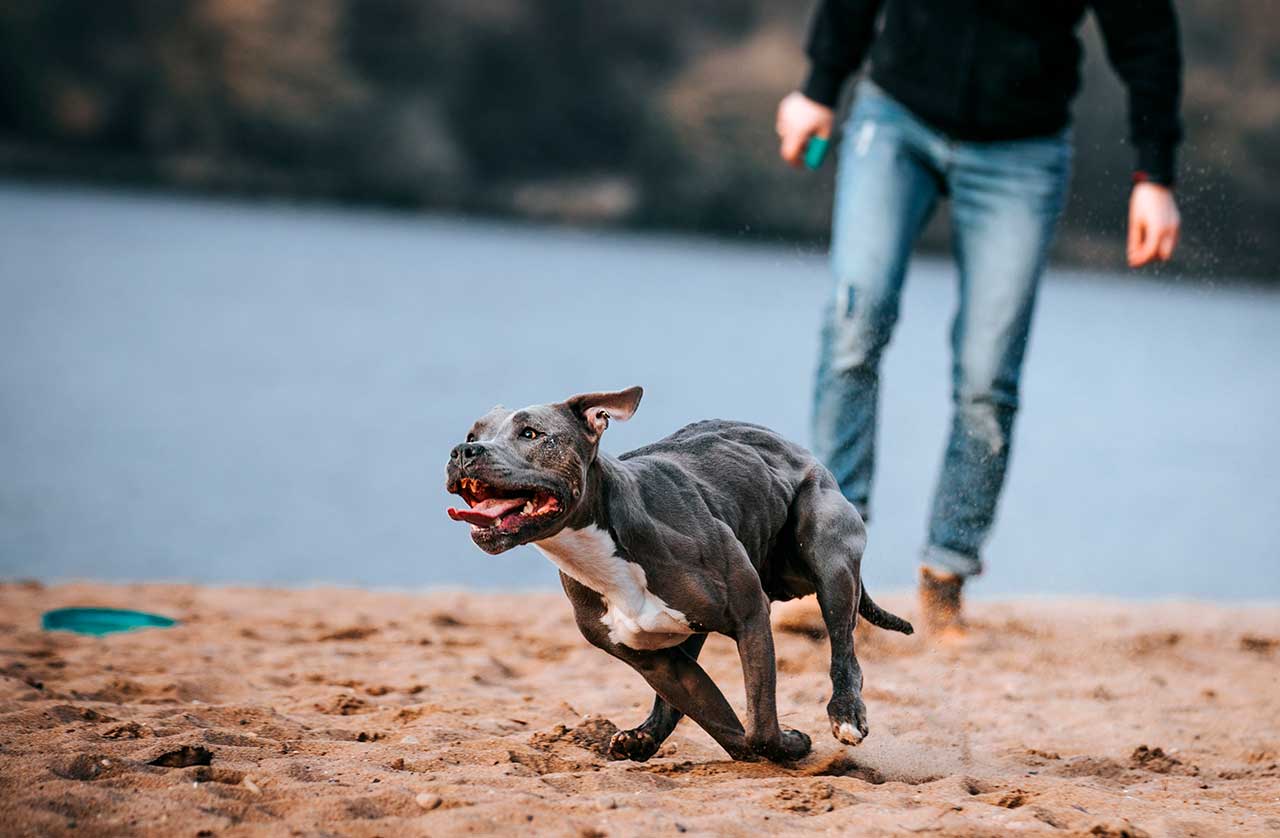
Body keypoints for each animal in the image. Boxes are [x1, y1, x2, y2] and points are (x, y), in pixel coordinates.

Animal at [448, 388, 911, 762]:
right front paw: (779, 744)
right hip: (688, 631)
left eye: (530, 434)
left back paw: (847, 714)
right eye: (473, 435)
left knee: (844, 647)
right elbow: (722, 721)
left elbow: (760, 723)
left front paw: (788, 743)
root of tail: (800, 451)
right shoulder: (655, 662)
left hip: (828, 552)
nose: (463, 452)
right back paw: (643, 736)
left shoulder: (750, 616)